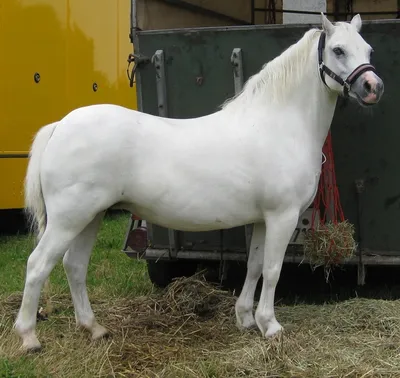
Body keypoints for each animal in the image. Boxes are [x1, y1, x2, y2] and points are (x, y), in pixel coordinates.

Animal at [14, 14, 384, 352]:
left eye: (367, 49)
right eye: (338, 50)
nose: (373, 87)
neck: (279, 123)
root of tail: (61, 125)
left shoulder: (263, 220)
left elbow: (254, 266)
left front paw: (246, 319)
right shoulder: (283, 216)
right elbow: (273, 269)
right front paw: (270, 325)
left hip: (91, 217)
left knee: (74, 266)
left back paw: (93, 328)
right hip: (69, 219)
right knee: (37, 265)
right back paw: (29, 337)